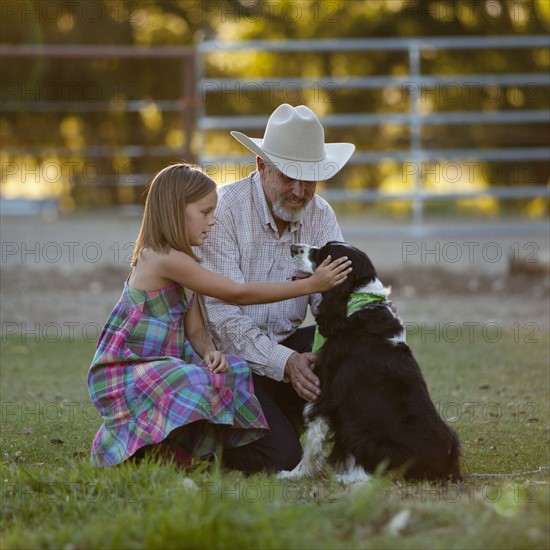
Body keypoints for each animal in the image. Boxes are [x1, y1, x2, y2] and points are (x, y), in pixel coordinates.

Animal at [278, 244, 464, 486]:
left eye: (324, 253)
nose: (293, 247)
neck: (359, 301)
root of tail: (446, 464)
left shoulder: (325, 393)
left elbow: (313, 438)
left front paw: (294, 474)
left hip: (367, 435)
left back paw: (346, 477)